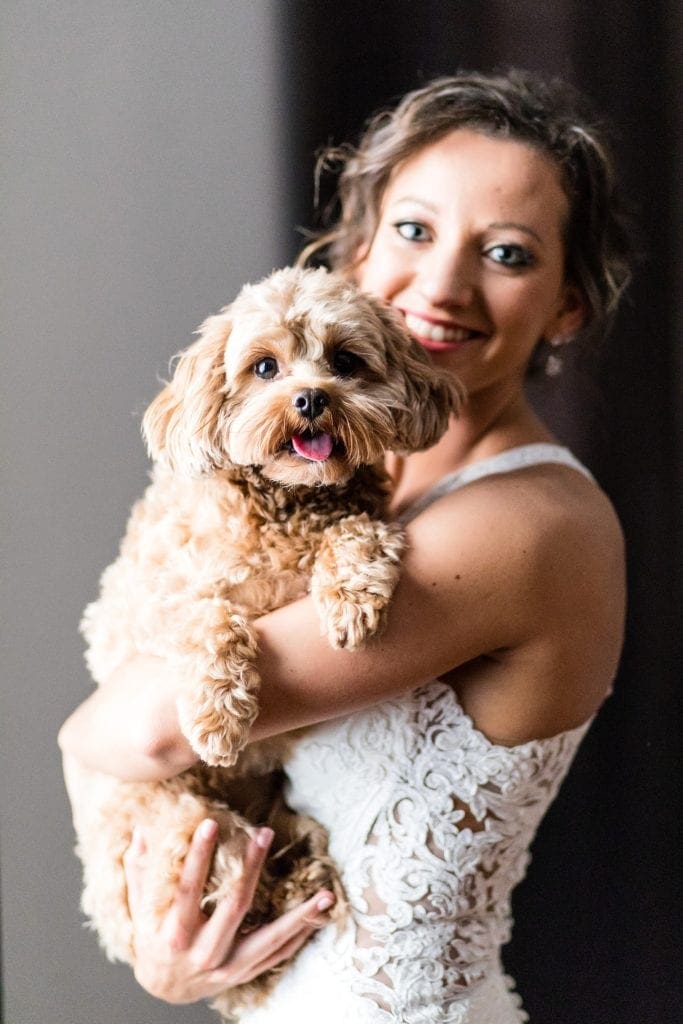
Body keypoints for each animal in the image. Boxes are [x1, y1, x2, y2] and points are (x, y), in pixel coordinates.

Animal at [63, 264, 462, 1015]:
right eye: (265, 367)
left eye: (345, 361)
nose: (310, 398)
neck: (289, 504)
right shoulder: (151, 605)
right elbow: (210, 622)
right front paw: (219, 718)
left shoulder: (358, 519)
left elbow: (357, 532)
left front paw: (352, 598)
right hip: (187, 825)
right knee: (239, 891)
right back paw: (295, 886)